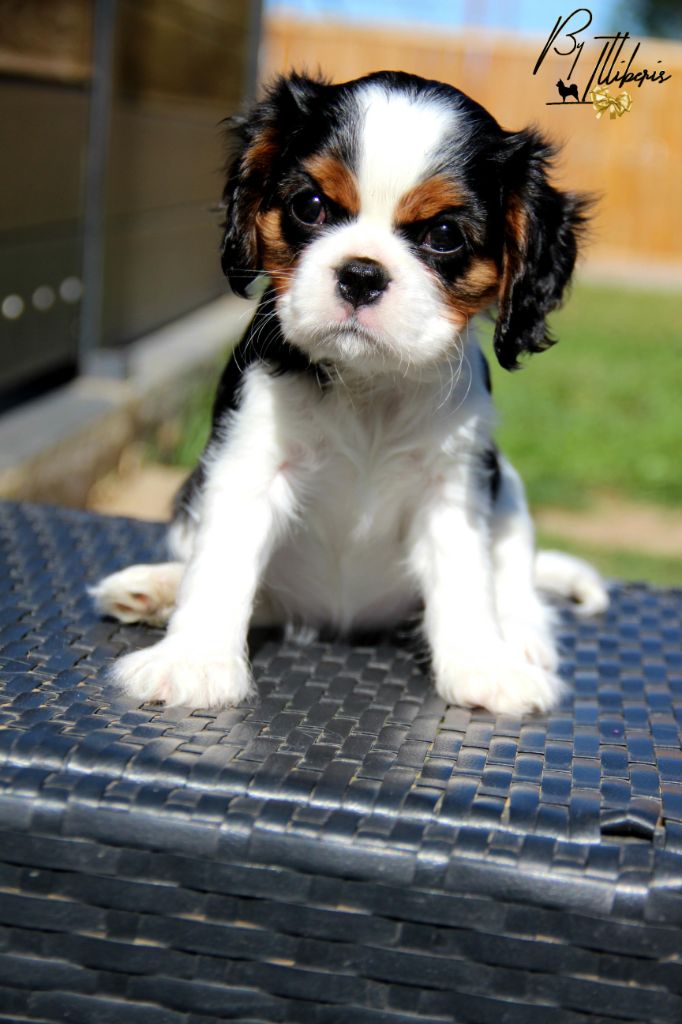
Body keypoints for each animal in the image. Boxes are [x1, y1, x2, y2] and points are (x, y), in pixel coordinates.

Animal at [91, 70, 606, 712]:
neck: (370, 383)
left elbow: (466, 579)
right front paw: (193, 660)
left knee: (512, 576)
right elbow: (220, 564)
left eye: (444, 235)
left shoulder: (453, 486)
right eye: (309, 206)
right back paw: (156, 588)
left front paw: (485, 667)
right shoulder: (249, 461)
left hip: (505, 487)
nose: (361, 274)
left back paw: (522, 637)